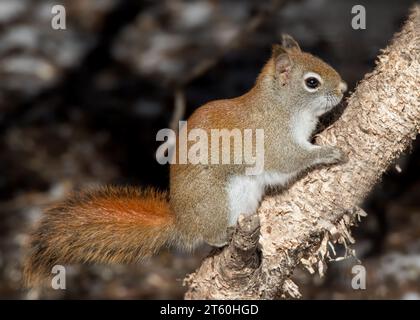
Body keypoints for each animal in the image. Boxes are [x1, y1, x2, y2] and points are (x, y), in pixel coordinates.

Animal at [24, 34, 350, 284]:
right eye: (311, 82)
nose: (344, 89)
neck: (283, 106)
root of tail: (181, 223)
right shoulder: (272, 139)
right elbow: (290, 159)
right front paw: (328, 153)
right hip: (217, 201)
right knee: (208, 235)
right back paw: (223, 235)